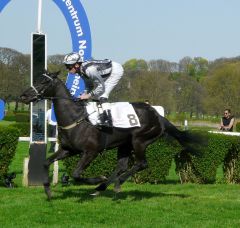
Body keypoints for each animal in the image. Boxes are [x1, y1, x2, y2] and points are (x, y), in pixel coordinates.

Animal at [20, 71, 201, 200]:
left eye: (43, 82)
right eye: (36, 79)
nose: (24, 95)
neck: (75, 117)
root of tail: (158, 115)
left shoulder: (91, 151)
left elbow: (76, 174)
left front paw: (99, 178)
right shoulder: (68, 149)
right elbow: (45, 163)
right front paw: (48, 191)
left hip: (140, 141)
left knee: (141, 164)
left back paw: (114, 184)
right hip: (125, 144)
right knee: (122, 166)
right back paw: (102, 188)